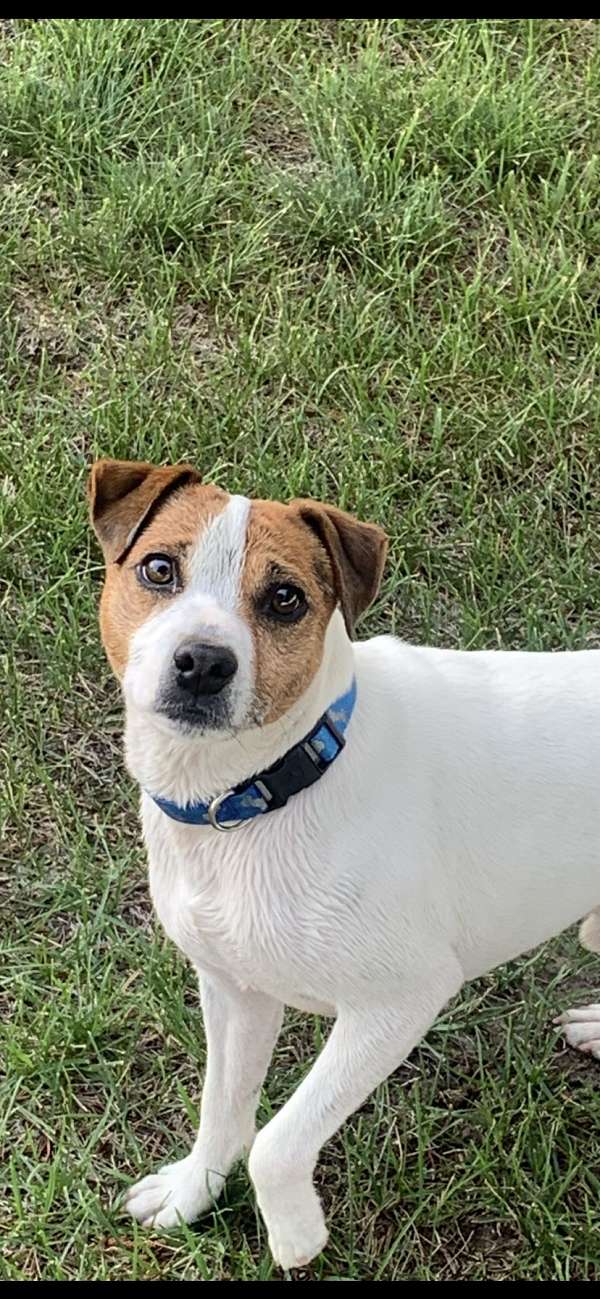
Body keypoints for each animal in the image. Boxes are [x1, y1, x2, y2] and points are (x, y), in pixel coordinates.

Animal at [87, 457, 600, 1267]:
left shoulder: (401, 1000)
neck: (261, 795)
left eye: (285, 598)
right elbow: (223, 1110)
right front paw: (192, 1194)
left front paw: (295, 1233)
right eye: (159, 568)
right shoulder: (235, 991)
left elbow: (275, 1142)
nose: (202, 662)